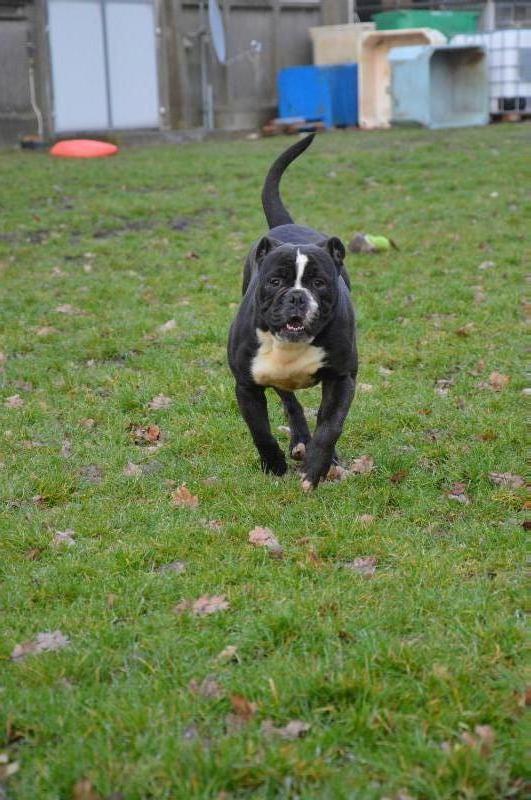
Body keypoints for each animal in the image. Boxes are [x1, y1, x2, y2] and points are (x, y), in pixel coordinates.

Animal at [229, 134, 358, 490]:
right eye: (275, 281)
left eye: (319, 282)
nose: (298, 297)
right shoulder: (247, 385)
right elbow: (260, 430)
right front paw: (273, 465)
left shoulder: (342, 378)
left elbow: (330, 427)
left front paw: (315, 470)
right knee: (290, 403)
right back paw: (298, 440)